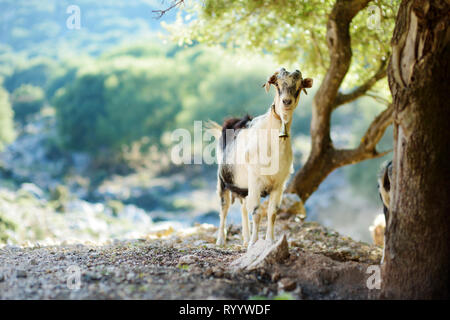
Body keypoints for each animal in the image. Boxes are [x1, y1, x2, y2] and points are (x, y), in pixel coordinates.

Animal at [211, 68, 312, 248]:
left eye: (299, 86)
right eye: (277, 84)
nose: (286, 101)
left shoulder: (279, 184)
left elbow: (272, 213)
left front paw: (269, 241)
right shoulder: (255, 180)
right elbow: (257, 212)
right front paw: (254, 243)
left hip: (243, 185)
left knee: (243, 207)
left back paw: (244, 238)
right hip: (223, 180)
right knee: (224, 207)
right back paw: (221, 240)